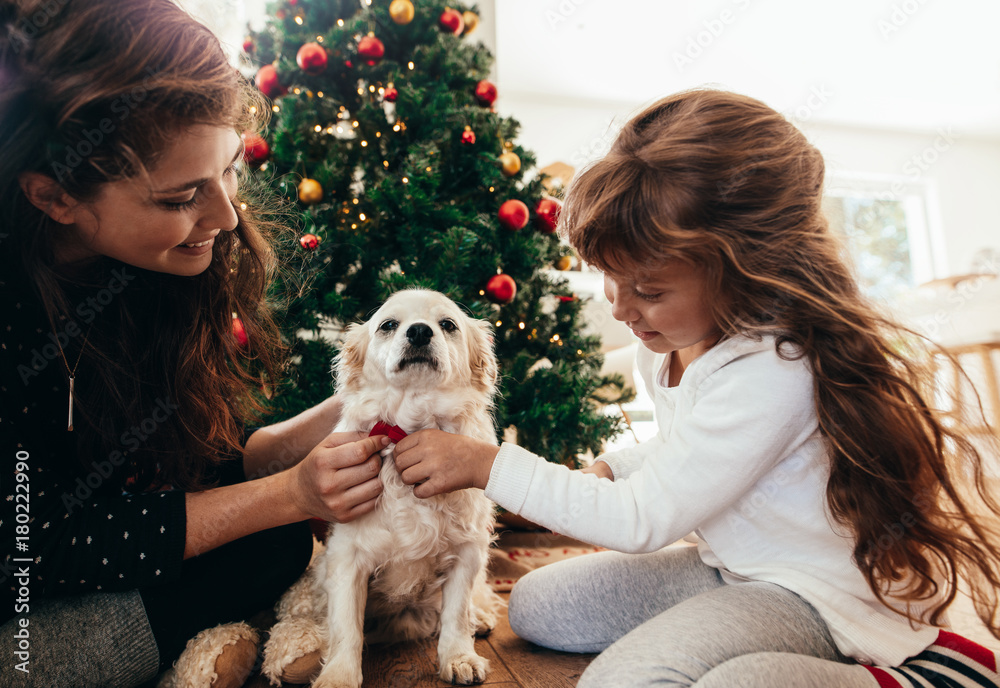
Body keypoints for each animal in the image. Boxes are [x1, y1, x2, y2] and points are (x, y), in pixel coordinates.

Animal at [262, 288, 504, 688]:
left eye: (448, 324)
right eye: (388, 325)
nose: (419, 331)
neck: (410, 427)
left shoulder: (466, 552)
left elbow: (455, 616)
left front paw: (458, 657)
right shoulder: (348, 559)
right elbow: (347, 629)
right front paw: (338, 676)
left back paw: (480, 618)